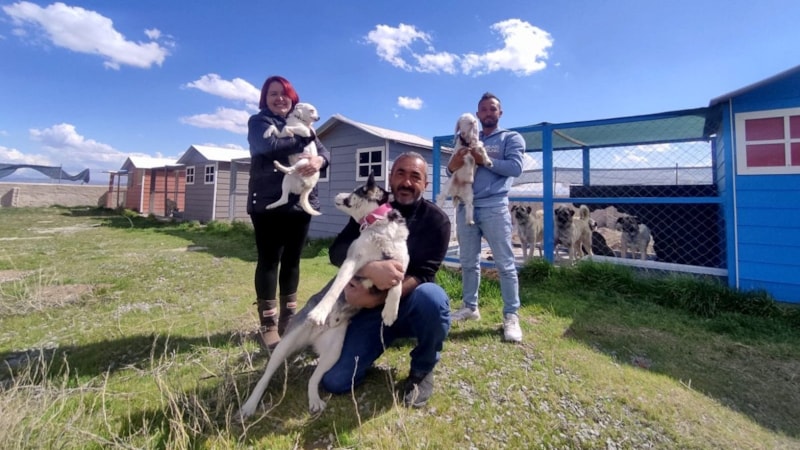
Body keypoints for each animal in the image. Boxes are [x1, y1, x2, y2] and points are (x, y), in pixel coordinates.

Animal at [237, 173, 409, 419]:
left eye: (355, 191)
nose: (338, 193)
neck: (379, 226)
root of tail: (313, 338)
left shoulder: (400, 264)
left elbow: (397, 285)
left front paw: (390, 312)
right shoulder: (352, 261)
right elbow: (336, 288)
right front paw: (321, 311)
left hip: (333, 352)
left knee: (314, 379)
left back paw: (314, 400)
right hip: (286, 343)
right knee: (266, 376)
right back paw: (250, 405)